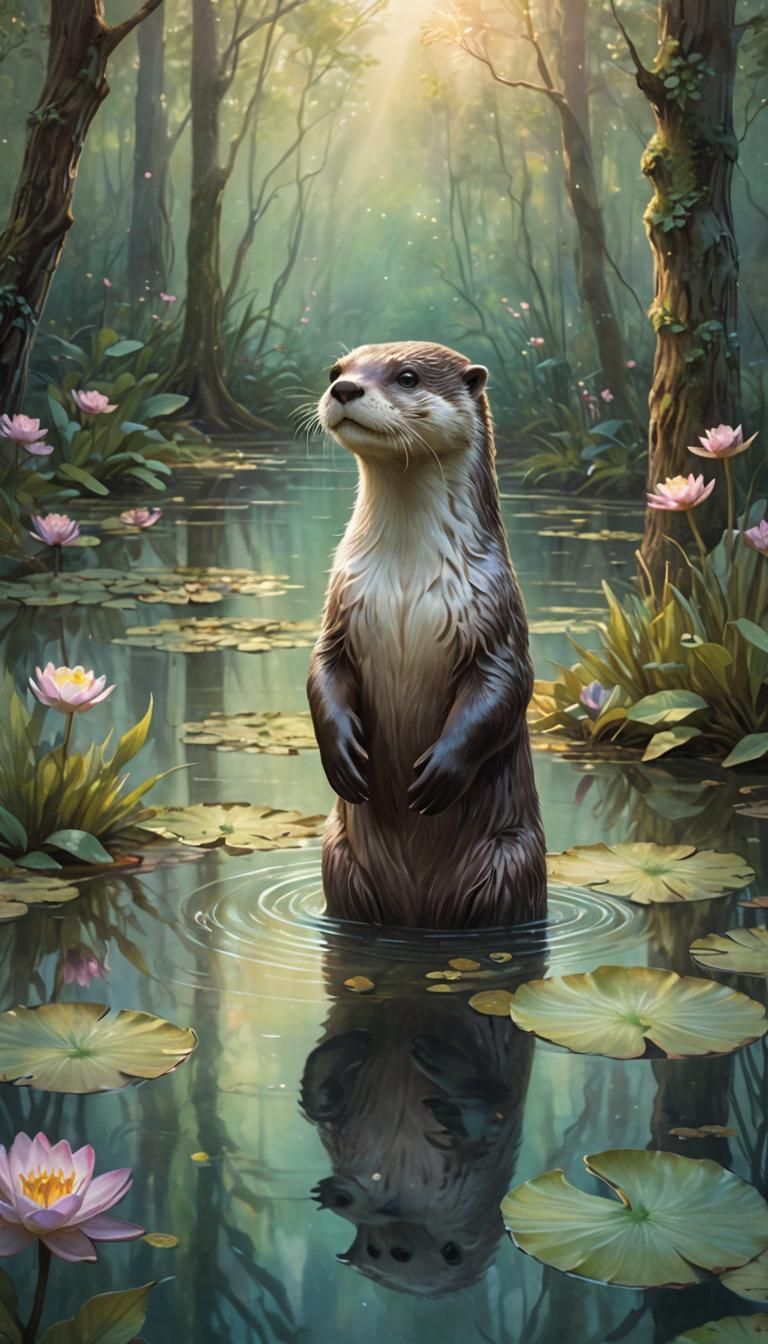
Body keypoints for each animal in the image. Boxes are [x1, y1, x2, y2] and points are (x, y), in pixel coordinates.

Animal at [308, 340, 546, 928]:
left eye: (408, 376)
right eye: (335, 370)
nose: (344, 389)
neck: (405, 579)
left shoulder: (497, 613)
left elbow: (508, 687)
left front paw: (442, 770)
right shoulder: (339, 608)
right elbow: (322, 669)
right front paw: (340, 754)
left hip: (509, 862)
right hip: (338, 855)